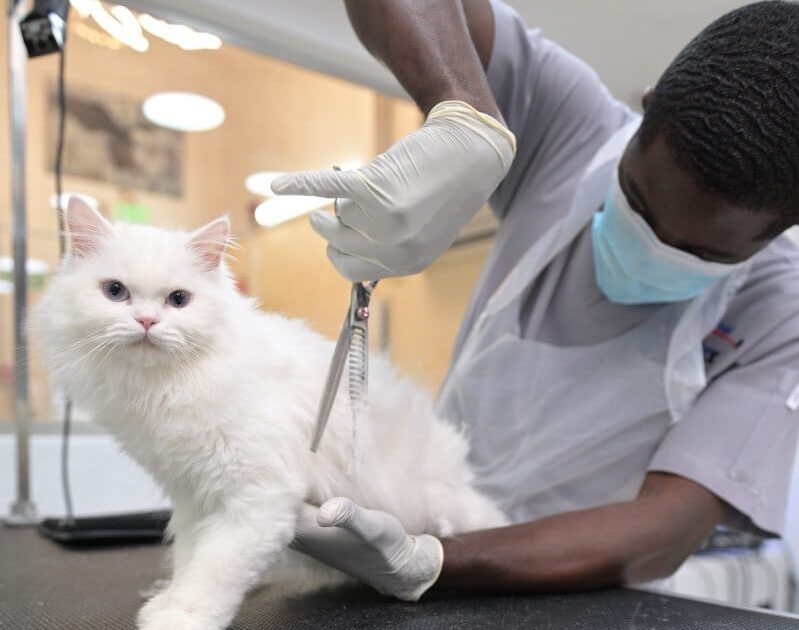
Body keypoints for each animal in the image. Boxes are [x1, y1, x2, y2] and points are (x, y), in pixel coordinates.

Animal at [34, 199, 506, 630]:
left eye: (178, 300)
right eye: (115, 291)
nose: (147, 321)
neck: (167, 386)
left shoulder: (257, 495)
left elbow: (213, 570)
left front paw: (182, 615)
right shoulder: (194, 497)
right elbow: (189, 557)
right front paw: (166, 600)